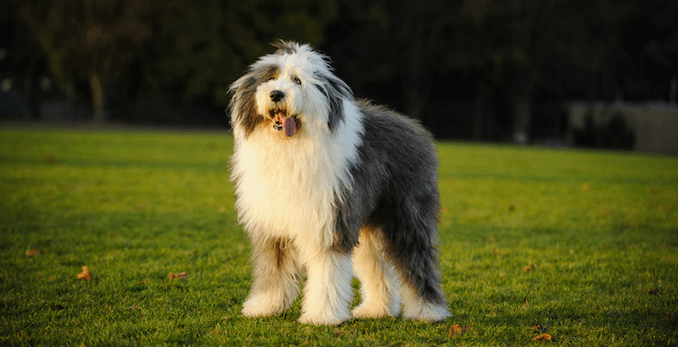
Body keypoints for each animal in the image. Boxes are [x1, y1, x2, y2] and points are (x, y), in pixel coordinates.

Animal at [228, 40, 452, 326]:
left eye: (297, 80)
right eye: (270, 78)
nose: (276, 94)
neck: (290, 147)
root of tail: (415, 127)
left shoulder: (329, 220)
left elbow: (327, 272)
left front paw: (321, 315)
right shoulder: (274, 223)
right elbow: (274, 269)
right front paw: (265, 306)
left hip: (405, 213)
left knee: (416, 257)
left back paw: (428, 311)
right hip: (368, 223)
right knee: (375, 264)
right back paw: (377, 309)